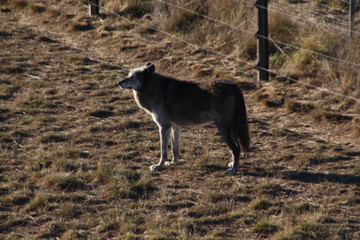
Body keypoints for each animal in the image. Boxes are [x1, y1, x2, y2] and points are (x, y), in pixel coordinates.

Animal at [118, 62, 250, 174]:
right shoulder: (175, 127)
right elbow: (174, 148)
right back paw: (232, 164)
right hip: (230, 128)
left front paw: (159, 166)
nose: (119, 83)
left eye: (132, 77)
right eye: (128, 75)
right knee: (237, 148)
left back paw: (233, 170)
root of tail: (233, 85)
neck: (153, 88)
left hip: (223, 129)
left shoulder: (163, 127)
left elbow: (163, 151)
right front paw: (173, 163)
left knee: (236, 148)